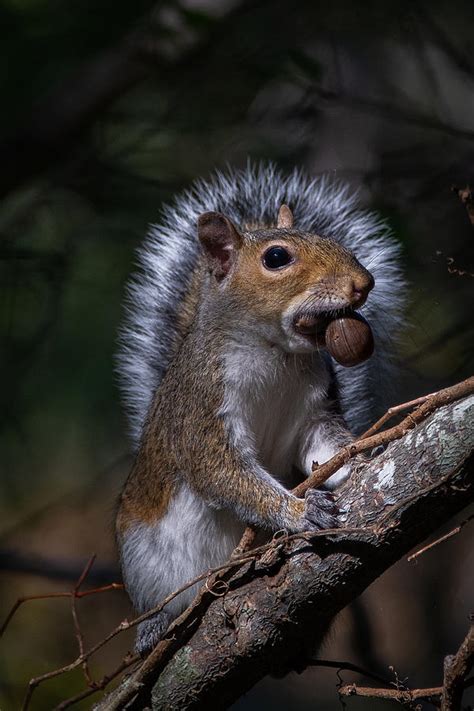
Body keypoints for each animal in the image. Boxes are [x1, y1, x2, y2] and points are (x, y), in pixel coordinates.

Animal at [115, 163, 404, 656]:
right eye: (276, 258)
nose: (362, 284)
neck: (274, 354)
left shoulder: (314, 411)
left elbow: (324, 450)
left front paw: (366, 456)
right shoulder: (202, 407)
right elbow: (222, 471)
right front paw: (299, 512)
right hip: (142, 556)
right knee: (160, 601)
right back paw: (154, 627)